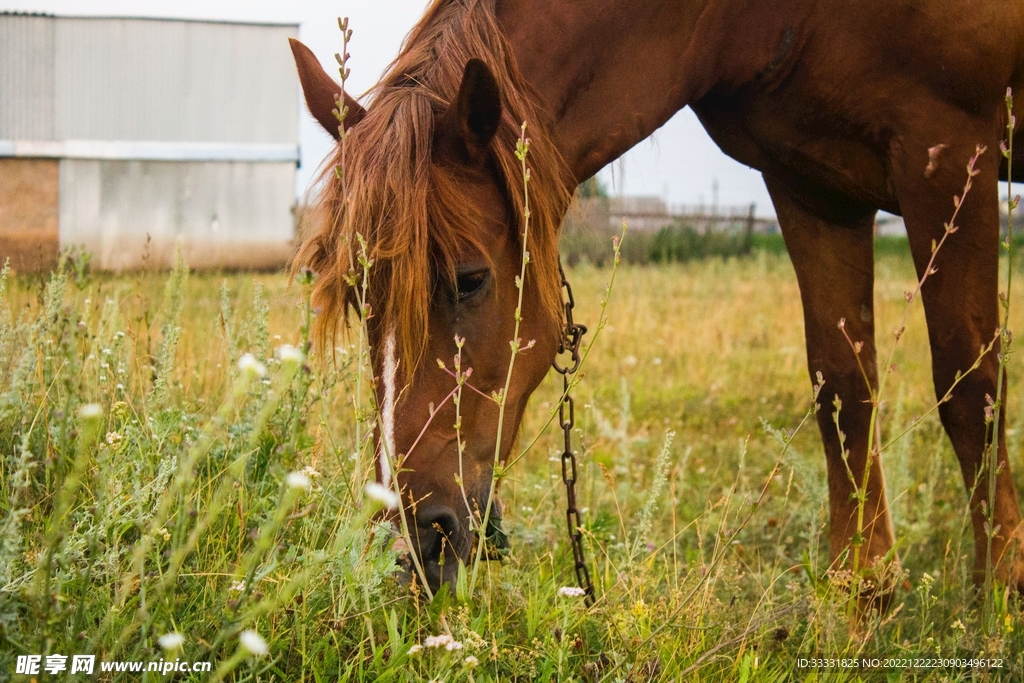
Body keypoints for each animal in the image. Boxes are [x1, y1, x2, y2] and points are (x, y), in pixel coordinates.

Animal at [288, 0, 1024, 597]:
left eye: (470, 278)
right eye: (355, 295)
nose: (413, 541)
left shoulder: (947, 149)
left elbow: (970, 386)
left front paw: (998, 594)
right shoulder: (814, 187)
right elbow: (844, 389)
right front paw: (864, 593)